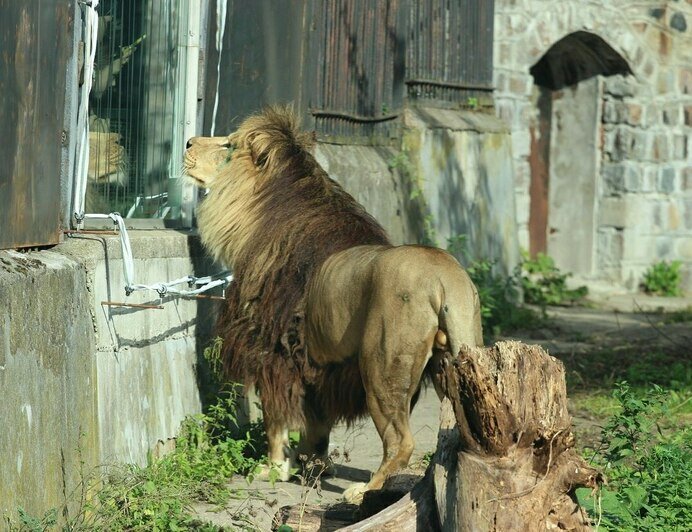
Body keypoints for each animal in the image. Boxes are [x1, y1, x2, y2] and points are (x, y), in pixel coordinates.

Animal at [187, 107, 484, 502]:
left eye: (228, 145)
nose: (188, 142)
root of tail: (445, 277)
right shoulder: (317, 365)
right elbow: (316, 424)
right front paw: (312, 463)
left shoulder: (273, 353)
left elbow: (275, 421)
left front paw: (274, 468)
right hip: (456, 359)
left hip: (381, 367)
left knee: (400, 441)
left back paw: (364, 490)